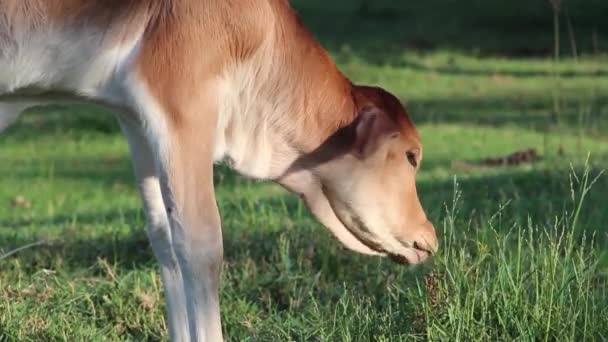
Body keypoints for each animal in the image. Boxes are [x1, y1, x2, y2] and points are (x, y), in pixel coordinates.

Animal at [0, 1, 436, 340]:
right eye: (412, 156)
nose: (430, 236)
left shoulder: (134, 119)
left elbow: (164, 236)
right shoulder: (183, 104)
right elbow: (201, 241)